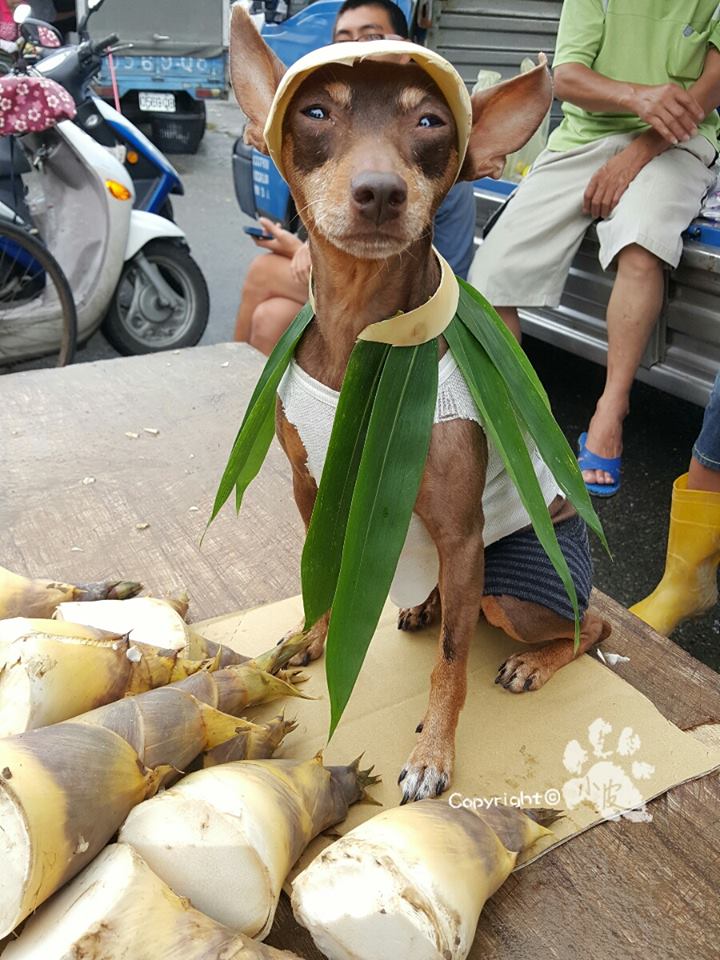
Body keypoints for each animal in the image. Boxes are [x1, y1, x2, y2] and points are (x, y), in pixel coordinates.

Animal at [229, 9, 608, 804]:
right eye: (315, 111)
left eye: (431, 122)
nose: (379, 191)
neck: (362, 337)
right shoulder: (315, 489)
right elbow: (323, 576)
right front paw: (314, 636)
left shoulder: (463, 534)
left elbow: (451, 663)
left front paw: (433, 750)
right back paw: (424, 602)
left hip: (510, 588)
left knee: (589, 628)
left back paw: (533, 659)